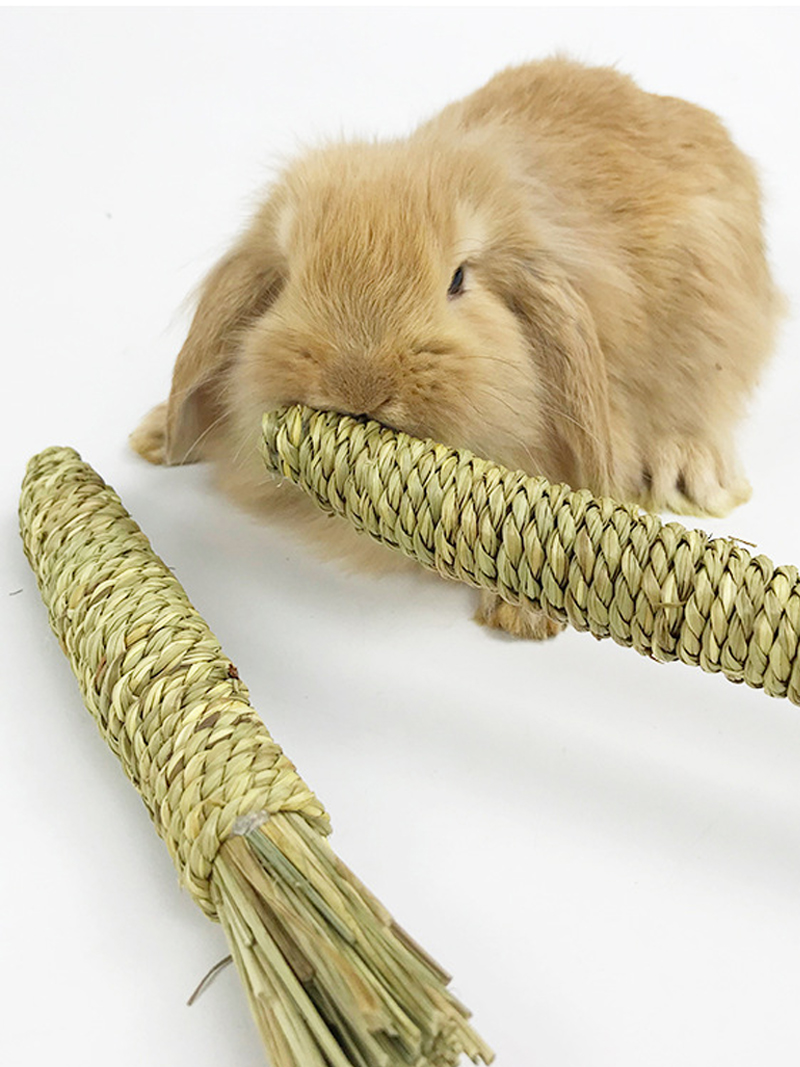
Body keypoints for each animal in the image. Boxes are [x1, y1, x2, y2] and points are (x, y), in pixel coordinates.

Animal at [131, 56, 784, 640]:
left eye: (458, 280)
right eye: (288, 279)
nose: (357, 384)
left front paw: (522, 616)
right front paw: (157, 436)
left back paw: (687, 473)